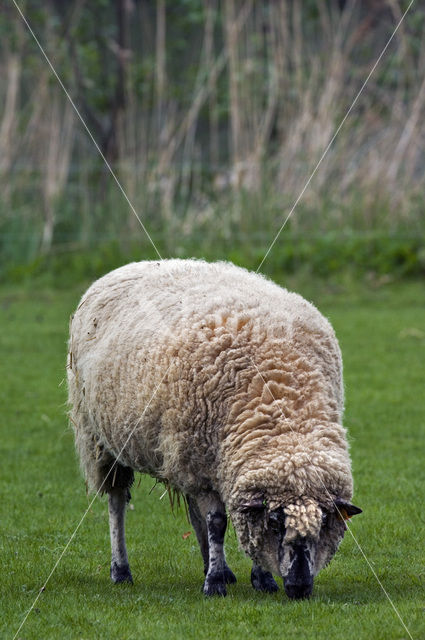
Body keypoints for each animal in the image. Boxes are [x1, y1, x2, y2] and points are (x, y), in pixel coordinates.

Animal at [67, 258, 362, 596]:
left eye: (325, 523)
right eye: (276, 523)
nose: (299, 587)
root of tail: (130, 265)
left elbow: (236, 524)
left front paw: (259, 578)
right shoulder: (204, 463)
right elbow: (218, 522)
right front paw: (215, 582)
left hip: (187, 454)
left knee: (194, 510)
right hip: (103, 439)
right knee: (117, 502)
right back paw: (121, 570)